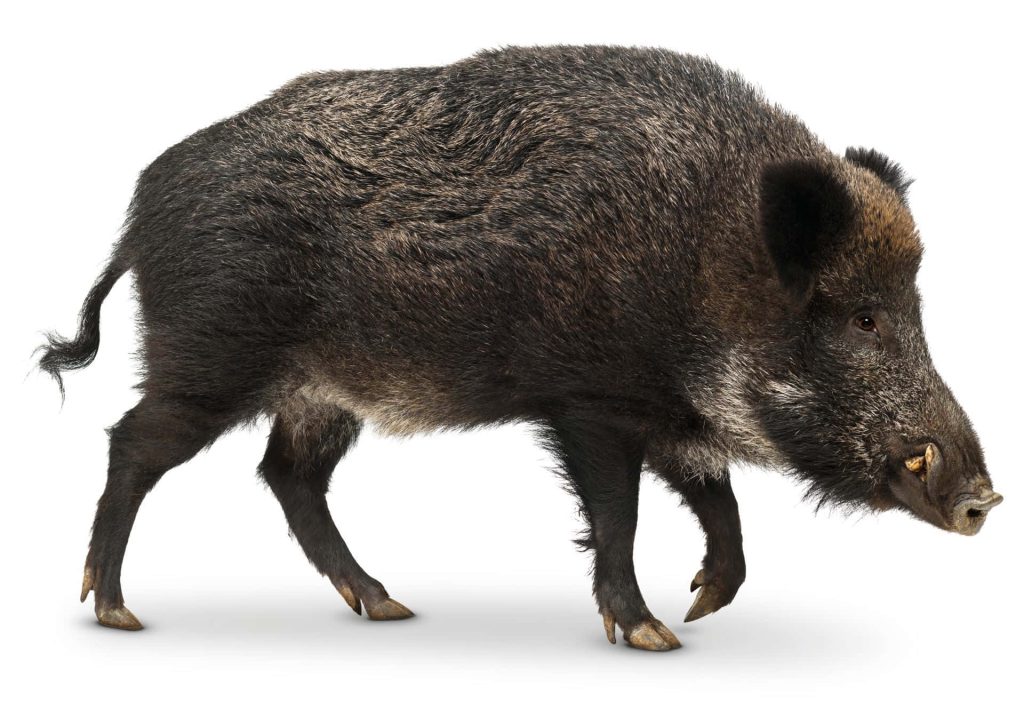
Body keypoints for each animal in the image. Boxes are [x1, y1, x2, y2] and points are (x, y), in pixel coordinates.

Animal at [39, 45, 1002, 651]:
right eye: (865, 319)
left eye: (913, 308)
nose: (985, 497)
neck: (703, 255)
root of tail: (139, 216)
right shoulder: (589, 402)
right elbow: (620, 513)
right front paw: (653, 636)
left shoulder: (668, 412)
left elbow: (717, 498)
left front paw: (703, 607)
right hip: (211, 357)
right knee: (135, 442)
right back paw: (117, 614)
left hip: (320, 394)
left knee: (288, 476)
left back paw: (389, 607)